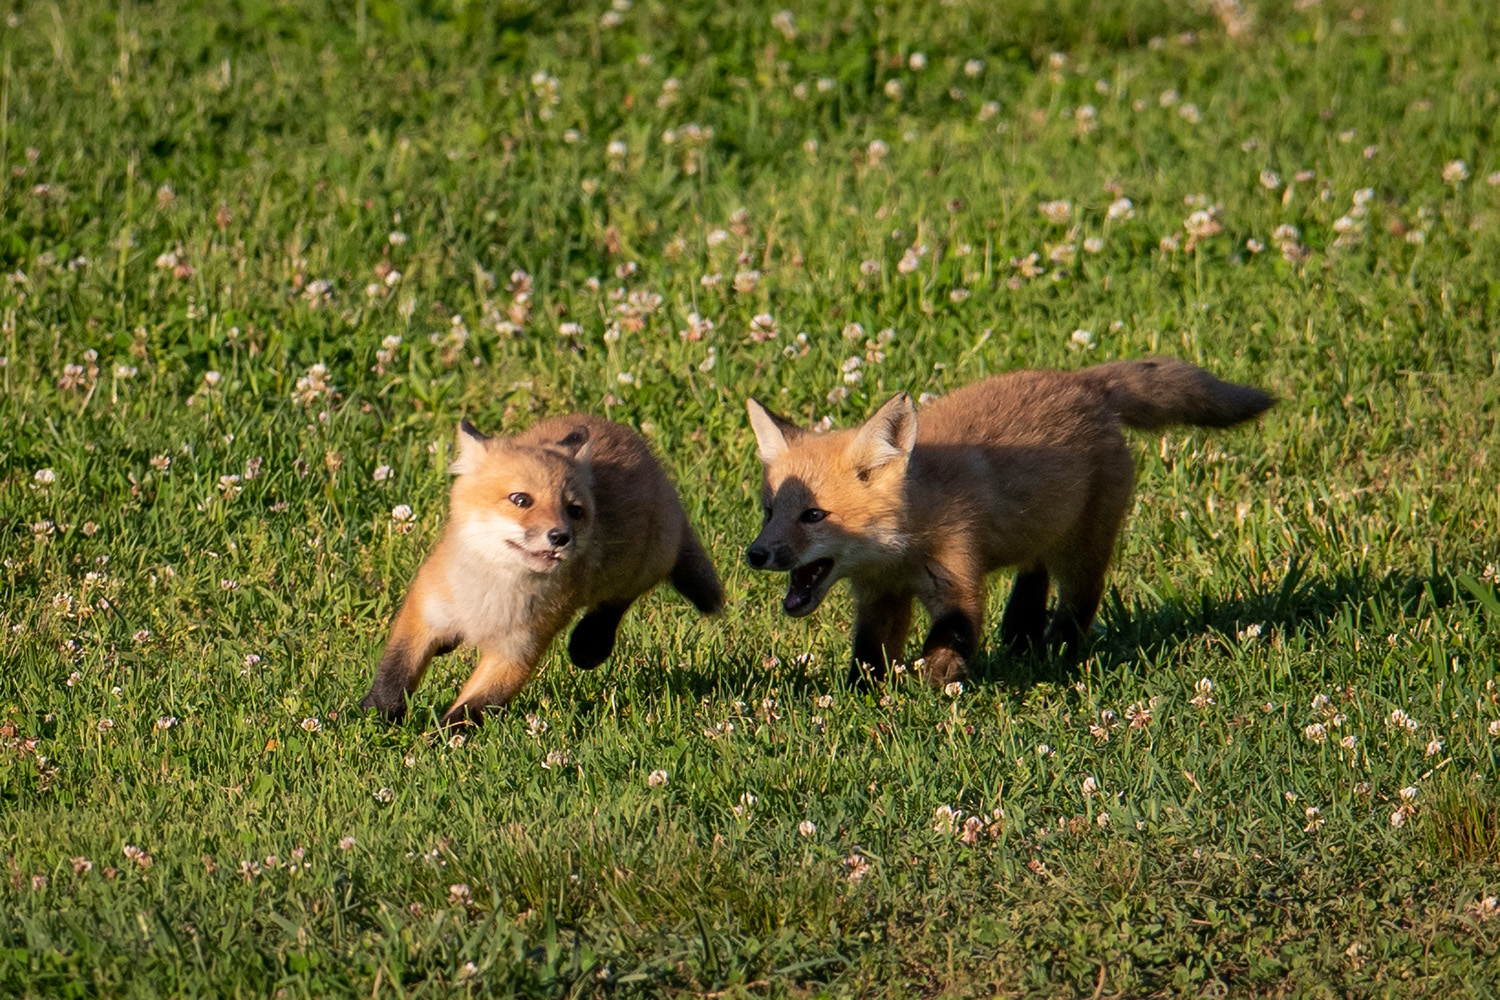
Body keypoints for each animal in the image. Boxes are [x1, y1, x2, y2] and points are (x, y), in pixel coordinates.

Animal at [359, 415, 723, 727]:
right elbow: (395, 672)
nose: (560, 537)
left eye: (574, 510)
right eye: (521, 500)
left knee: (616, 602)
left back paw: (590, 644)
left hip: (639, 567)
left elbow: (472, 708)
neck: (490, 597)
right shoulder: (424, 609)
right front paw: (375, 716)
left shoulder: (519, 649)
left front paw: (442, 741)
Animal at [745, 358, 1273, 688]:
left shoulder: (956, 568)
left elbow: (957, 628)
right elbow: (869, 655)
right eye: (770, 512)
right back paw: (1021, 637)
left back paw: (1058, 651)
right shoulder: (881, 597)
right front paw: (860, 697)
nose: (755, 554)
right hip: (1043, 533)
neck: (901, 551)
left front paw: (940, 671)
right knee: (1033, 577)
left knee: (1079, 600)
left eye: (814, 515)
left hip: (1083, 551)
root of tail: (1083, 382)